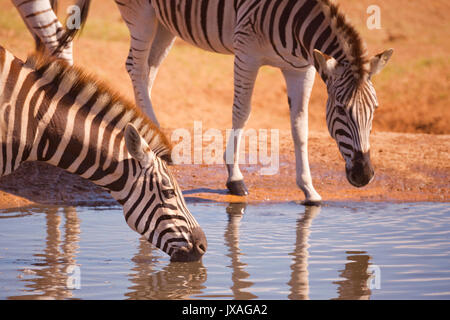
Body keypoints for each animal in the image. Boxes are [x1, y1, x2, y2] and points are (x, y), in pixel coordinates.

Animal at [13, 0, 394, 205]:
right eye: (341, 109)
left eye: (374, 111)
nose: (364, 175)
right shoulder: (246, 52)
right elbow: (242, 112)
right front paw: (235, 179)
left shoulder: (302, 70)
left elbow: (299, 126)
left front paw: (309, 189)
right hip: (142, 14)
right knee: (135, 66)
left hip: (164, 23)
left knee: (147, 70)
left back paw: (151, 130)